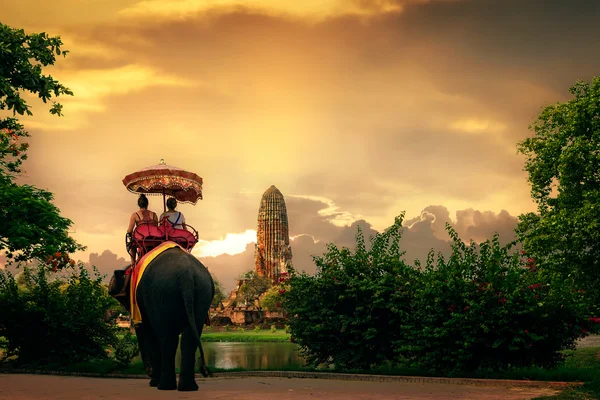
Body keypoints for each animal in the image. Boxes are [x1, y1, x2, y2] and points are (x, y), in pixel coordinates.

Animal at [109, 245, 214, 392]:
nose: (149, 373)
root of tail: (186, 275)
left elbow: (149, 333)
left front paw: (153, 382)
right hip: (202, 292)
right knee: (189, 339)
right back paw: (188, 387)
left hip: (161, 294)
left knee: (166, 339)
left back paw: (163, 386)